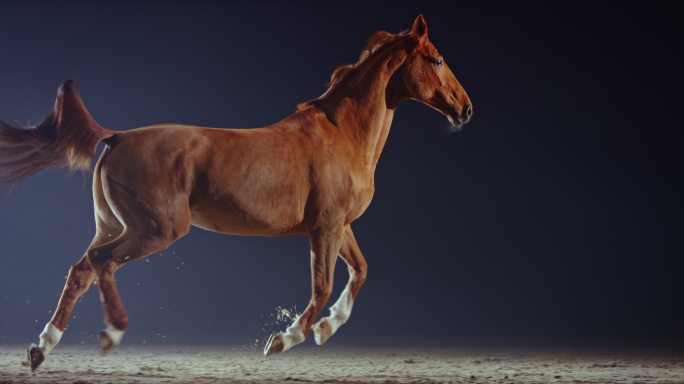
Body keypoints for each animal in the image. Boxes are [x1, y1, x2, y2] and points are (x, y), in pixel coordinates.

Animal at [0, 14, 470, 368]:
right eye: (436, 58)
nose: (465, 108)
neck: (341, 134)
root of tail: (117, 136)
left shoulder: (339, 226)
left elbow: (360, 272)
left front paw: (325, 328)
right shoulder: (325, 227)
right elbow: (321, 286)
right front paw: (285, 338)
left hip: (112, 225)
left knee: (82, 269)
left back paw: (42, 348)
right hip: (155, 229)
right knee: (102, 264)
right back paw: (111, 332)